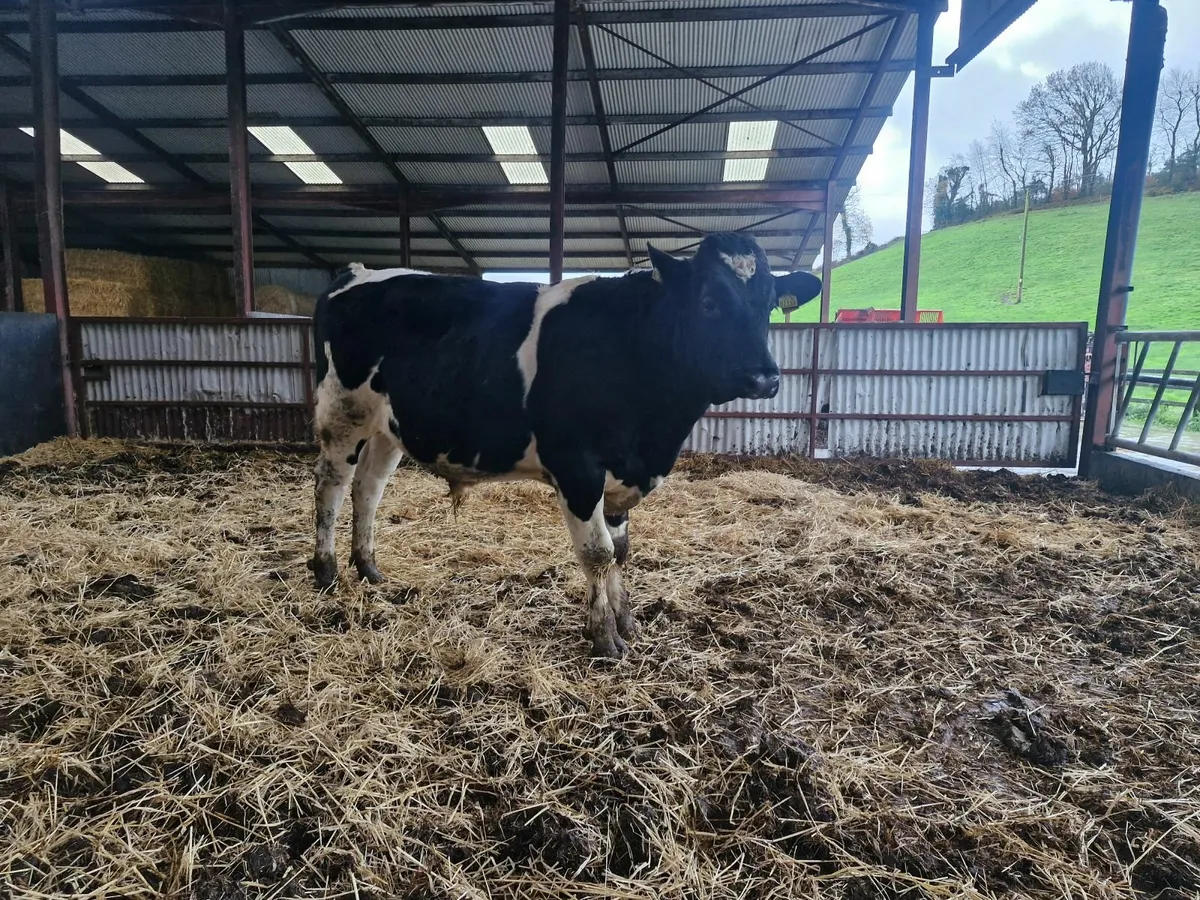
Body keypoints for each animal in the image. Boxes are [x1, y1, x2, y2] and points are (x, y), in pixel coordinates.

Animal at [307, 233, 822, 658]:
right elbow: (597, 553)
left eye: (770, 303)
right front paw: (604, 637)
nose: (764, 378)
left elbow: (621, 549)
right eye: (709, 301)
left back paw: (369, 569)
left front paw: (626, 619)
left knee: (368, 490)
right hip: (342, 412)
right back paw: (327, 572)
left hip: (388, 427)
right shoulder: (578, 468)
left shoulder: (622, 473)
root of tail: (356, 273)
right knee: (330, 487)